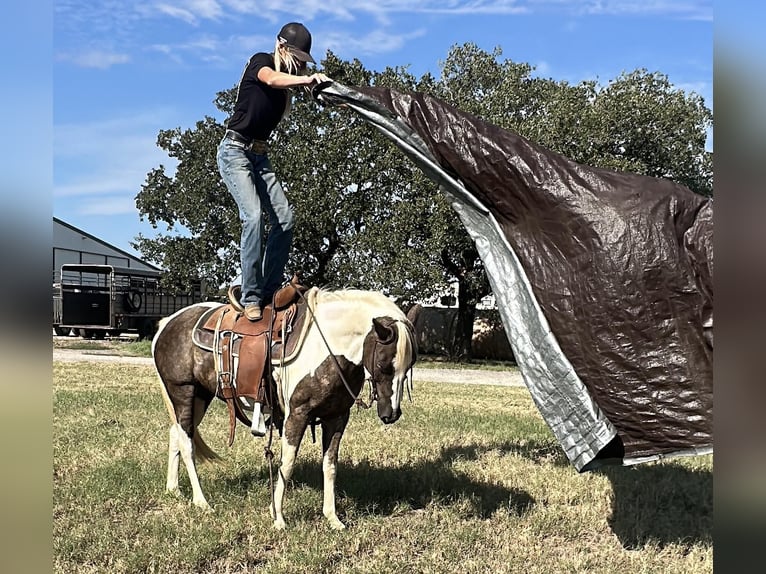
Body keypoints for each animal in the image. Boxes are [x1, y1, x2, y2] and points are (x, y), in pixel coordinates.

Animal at [153, 288, 416, 532]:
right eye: (383, 364)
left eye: (409, 366)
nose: (391, 414)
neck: (324, 346)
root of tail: (168, 323)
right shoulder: (296, 414)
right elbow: (287, 464)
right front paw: (278, 517)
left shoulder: (337, 417)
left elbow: (330, 465)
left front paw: (333, 519)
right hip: (183, 392)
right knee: (187, 443)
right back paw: (201, 501)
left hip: (200, 396)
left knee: (176, 434)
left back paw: (173, 490)